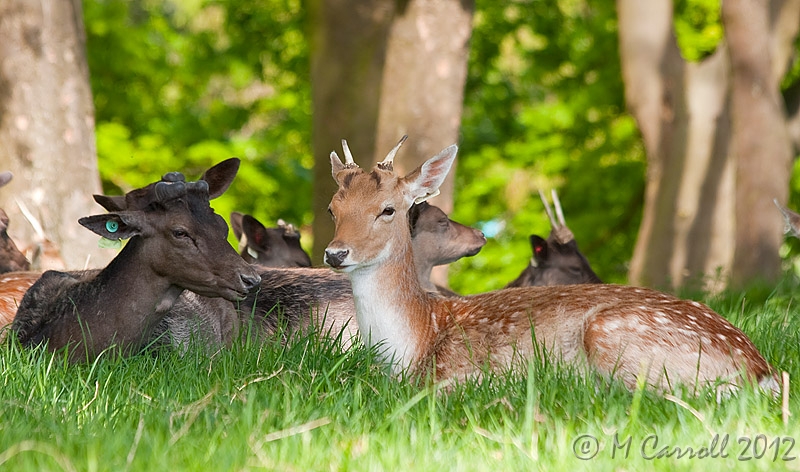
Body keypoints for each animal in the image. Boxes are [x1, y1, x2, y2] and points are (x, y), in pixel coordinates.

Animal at [322, 136, 780, 394]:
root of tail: (760, 369)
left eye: (388, 210)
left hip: (613, 335)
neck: (416, 340)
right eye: (332, 209)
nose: (335, 253)